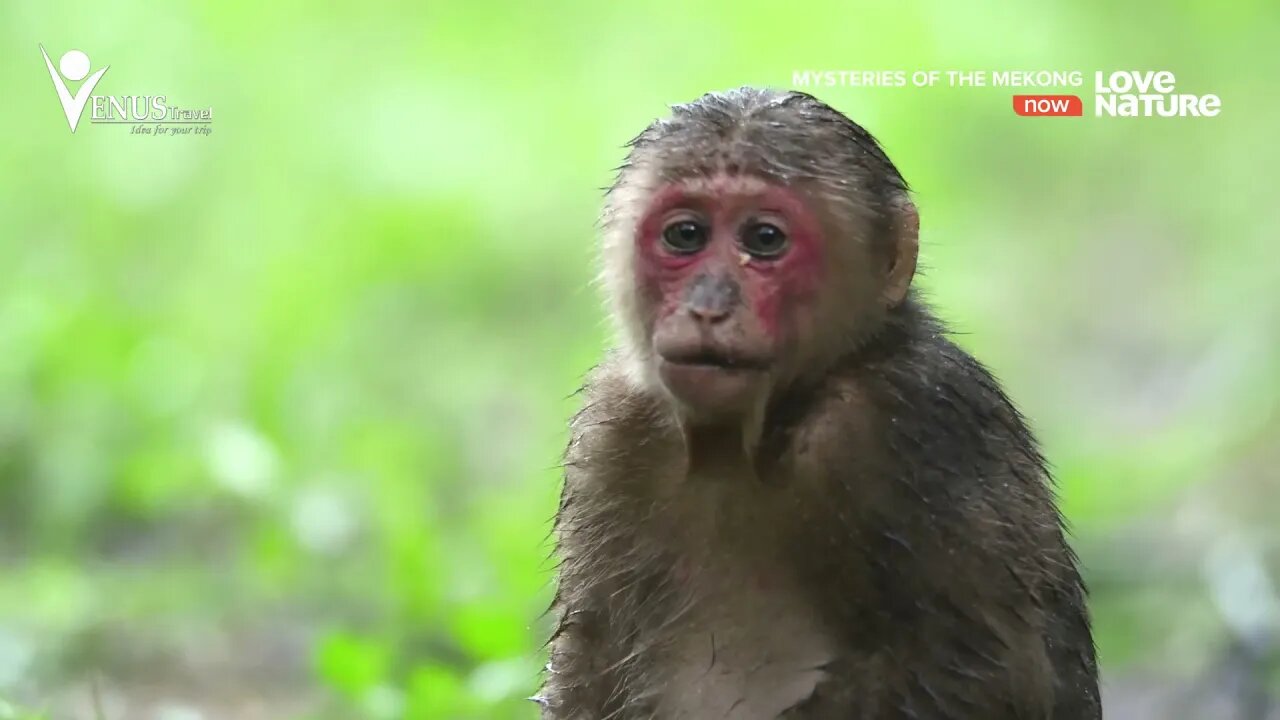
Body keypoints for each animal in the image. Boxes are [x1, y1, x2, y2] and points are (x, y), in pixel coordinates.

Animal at [540, 88, 1100, 717]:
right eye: (685, 235)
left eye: (764, 240)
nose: (708, 306)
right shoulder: (612, 427)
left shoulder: (911, 420)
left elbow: (991, 679)